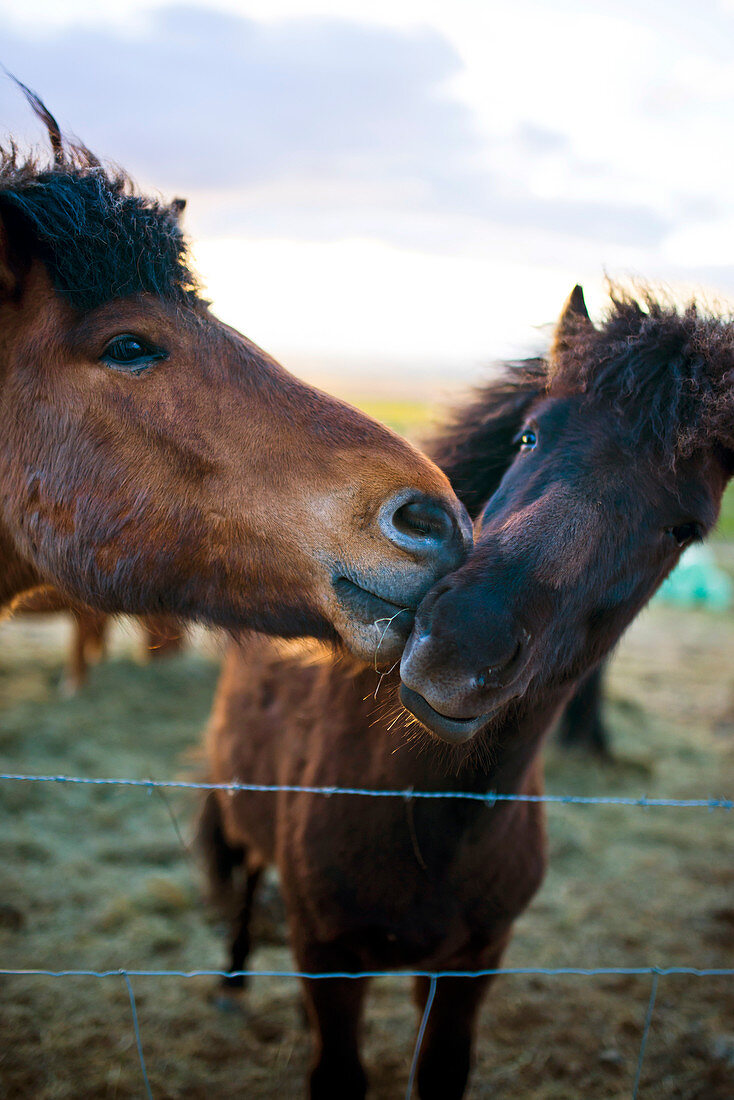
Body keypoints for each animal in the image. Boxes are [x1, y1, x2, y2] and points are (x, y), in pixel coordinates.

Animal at [201, 283, 734, 1091]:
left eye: (683, 528)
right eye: (529, 438)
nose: (461, 647)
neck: (428, 822)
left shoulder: (467, 969)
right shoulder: (330, 955)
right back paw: (232, 982)